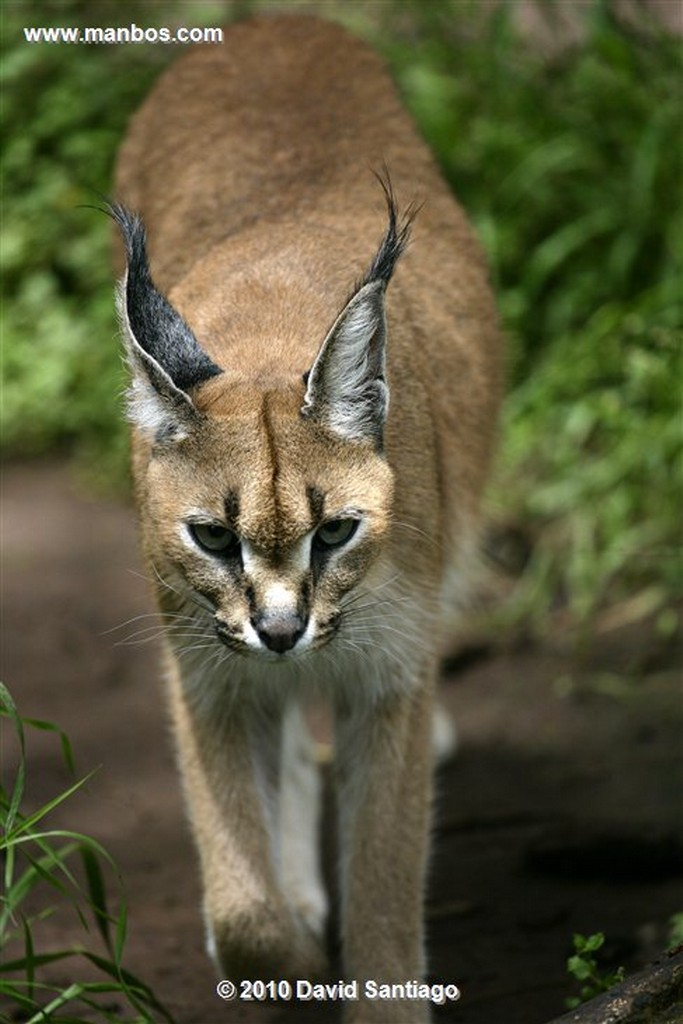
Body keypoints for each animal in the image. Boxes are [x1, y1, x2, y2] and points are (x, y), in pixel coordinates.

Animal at [112, 12, 501, 1019]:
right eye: (212, 536)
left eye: (336, 532)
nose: (282, 630)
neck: (268, 333)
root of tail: (269, 24)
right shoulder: (206, 669)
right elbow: (240, 903)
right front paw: (280, 955)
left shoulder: (389, 678)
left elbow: (386, 879)